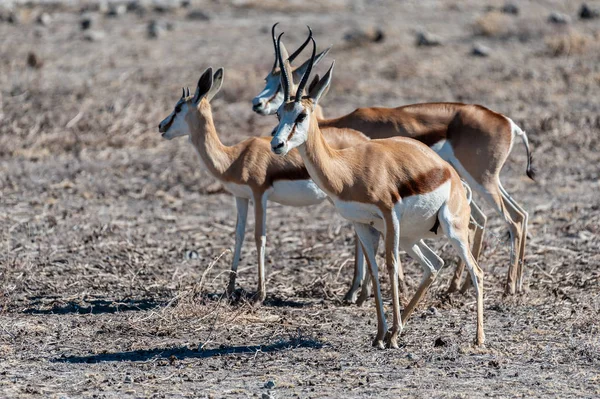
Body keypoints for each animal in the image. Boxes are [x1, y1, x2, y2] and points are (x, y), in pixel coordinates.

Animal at [157, 66, 368, 304]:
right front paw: (229, 289)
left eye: (178, 107)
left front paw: (260, 293)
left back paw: (356, 293)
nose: (161, 126)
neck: (234, 157)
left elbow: (260, 237)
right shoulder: (240, 197)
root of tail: (363, 139)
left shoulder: (259, 195)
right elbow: (238, 235)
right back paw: (355, 292)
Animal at [253, 23, 536, 296]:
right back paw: (476, 286)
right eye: (268, 80)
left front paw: (360, 291)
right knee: (513, 216)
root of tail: (509, 123)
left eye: (281, 89)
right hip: (482, 181)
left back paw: (508, 286)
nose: (257, 104)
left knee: (509, 220)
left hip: (482, 180)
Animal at [270, 33, 486, 346]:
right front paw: (381, 334)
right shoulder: (362, 224)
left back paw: (478, 339)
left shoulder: (388, 215)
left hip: (451, 229)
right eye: (278, 114)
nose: (277, 144)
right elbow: (373, 270)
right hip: (410, 237)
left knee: (477, 271)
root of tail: (453, 177)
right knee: (433, 264)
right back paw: (401, 327)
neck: (346, 170)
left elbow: (390, 266)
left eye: (301, 115)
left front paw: (390, 335)